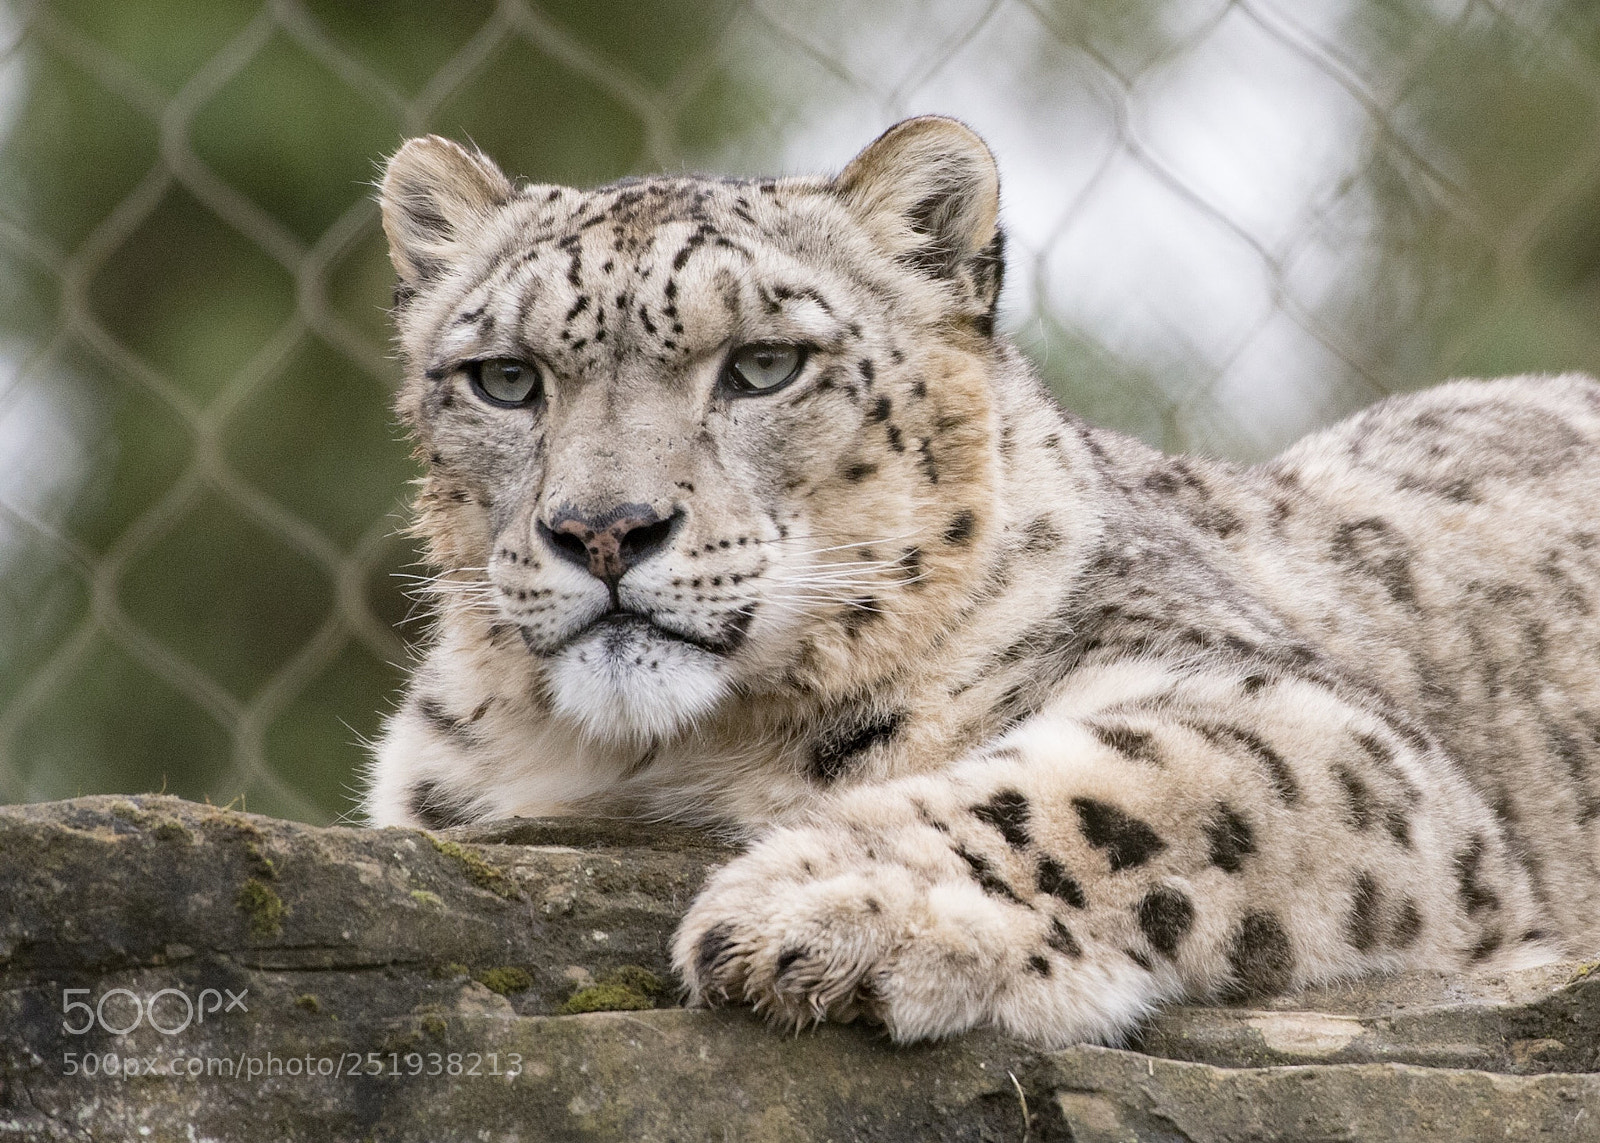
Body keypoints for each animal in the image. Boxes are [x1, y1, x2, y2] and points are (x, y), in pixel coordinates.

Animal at [363, 116, 1600, 1048]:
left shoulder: (1330, 732)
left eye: (763, 365)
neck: (642, 760)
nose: (605, 531)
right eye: (504, 380)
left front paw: (817, 910)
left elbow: (1114, 790)